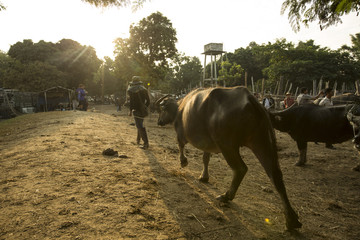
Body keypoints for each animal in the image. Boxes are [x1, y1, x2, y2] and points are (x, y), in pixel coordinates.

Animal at [157, 86, 300, 231]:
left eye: (162, 110)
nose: (159, 121)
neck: (180, 108)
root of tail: (250, 98)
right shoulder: (207, 144)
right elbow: (205, 158)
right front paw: (204, 177)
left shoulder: (181, 133)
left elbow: (180, 145)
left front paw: (183, 162)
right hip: (261, 140)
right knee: (275, 174)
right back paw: (291, 219)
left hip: (227, 145)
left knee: (241, 169)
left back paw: (226, 196)